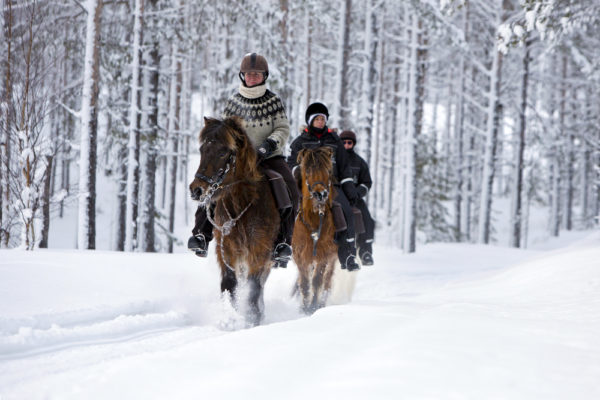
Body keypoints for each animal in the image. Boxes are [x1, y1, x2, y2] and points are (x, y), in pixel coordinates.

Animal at [189, 117, 280, 326]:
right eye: (202, 150)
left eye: (223, 152)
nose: (196, 190)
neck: (242, 204)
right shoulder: (226, 248)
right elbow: (229, 283)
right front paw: (230, 317)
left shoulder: (260, 249)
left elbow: (254, 285)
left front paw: (253, 320)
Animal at [290, 147, 338, 316]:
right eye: (308, 170)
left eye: (329, 170)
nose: (320, 194)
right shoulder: (300, 256)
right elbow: (305, 283)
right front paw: (304, 308)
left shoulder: (324, 254)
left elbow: (317, 281)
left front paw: (313, 307)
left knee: (327, 282)